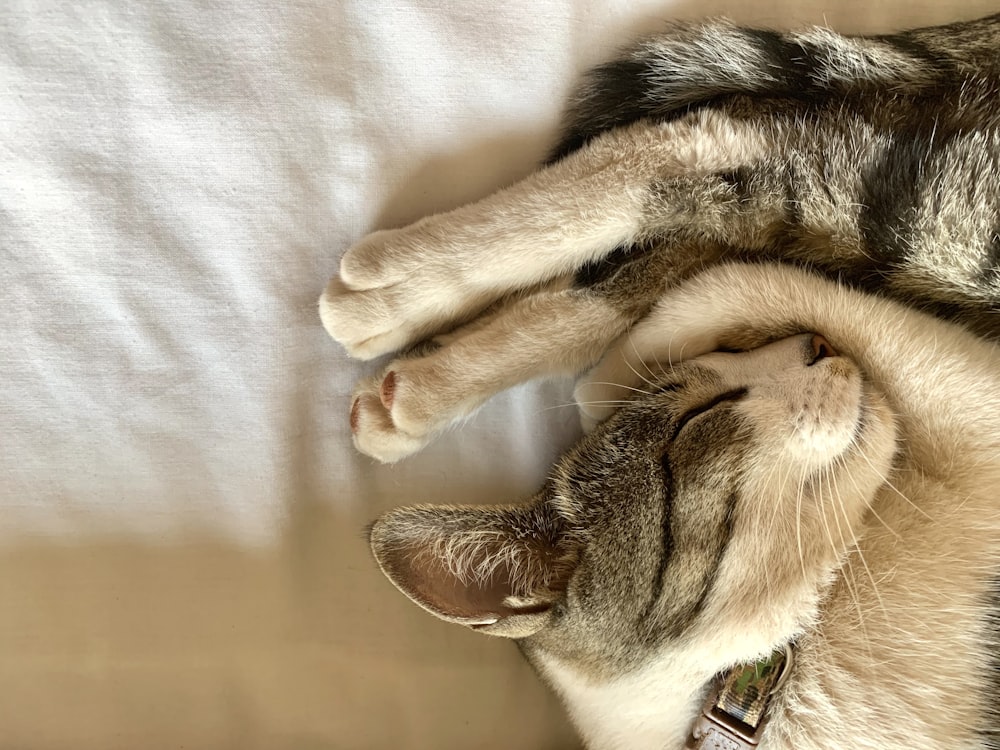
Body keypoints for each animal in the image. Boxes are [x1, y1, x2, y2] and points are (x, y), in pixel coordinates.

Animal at [320, 13, 1000, 750]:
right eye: (699, 421)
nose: (816, 349)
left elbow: (714, 293)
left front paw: (631, 369)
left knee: (731, 164)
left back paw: (407, 317)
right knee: (738, 171)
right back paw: (414, 329)